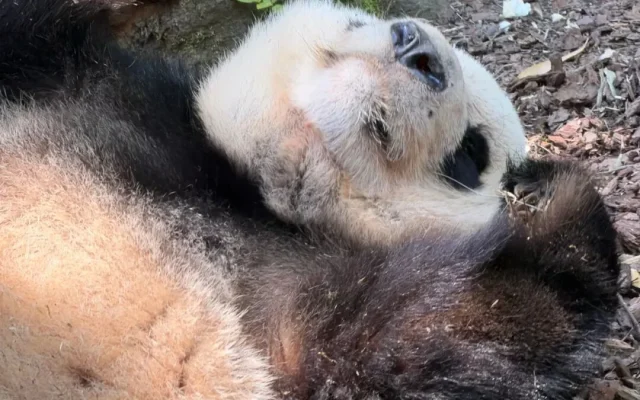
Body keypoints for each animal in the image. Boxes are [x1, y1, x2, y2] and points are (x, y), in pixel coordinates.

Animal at [0, 0, 619, 399]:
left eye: (472, 151)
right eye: (360, 20)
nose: (418, 50)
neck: (247, 188)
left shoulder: (294, 319)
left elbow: (437, 337)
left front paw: (547, 197)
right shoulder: (87, 86)